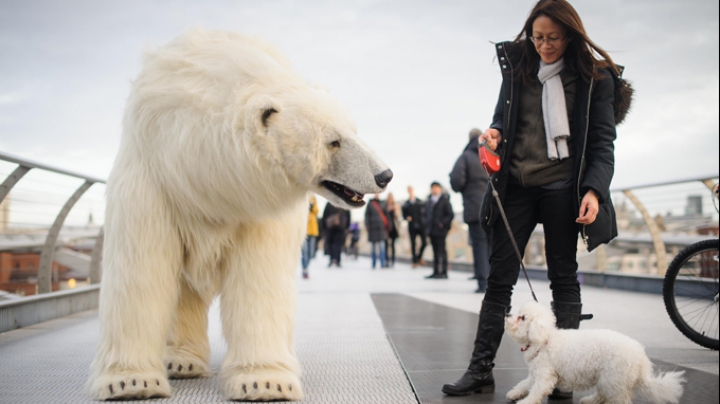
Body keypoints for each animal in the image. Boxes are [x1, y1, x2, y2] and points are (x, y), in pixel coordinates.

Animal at [90, 29, 394, 400]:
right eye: (333, 141)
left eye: (354, 131)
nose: (385, 175)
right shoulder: (154, 182)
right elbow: (141, 270)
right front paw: (131, 382)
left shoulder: (256, 206)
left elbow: (259, 276)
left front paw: (265, 382)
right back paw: (180, 361)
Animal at [504, 302, 684, 402]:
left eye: (522, 317)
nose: (507, 314)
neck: (544, 339)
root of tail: (642, 358)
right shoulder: (536, 373)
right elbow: (524, 384)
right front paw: (514, 393)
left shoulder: (544, 375)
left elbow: (536, 391)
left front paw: (525, 402)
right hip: (608, 379)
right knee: (604, 394)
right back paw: (590, 400)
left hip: (613, 377)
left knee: (619, 399)